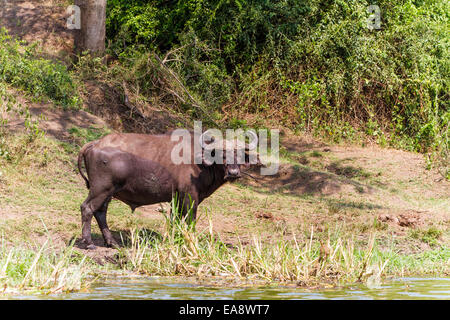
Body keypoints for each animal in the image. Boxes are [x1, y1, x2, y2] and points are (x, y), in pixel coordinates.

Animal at [77, 131, 260, 250]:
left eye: (241, 154)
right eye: (221, 154)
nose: (233, 173)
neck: (201, 164)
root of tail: (94, 143)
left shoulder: (177, 199)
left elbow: (176, 221)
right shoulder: (190, 197)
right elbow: (190, 220)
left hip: (108, 192)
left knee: (100, 212)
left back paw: (112, 243)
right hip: (100, 189)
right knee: (87, 208)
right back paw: (89, 243)